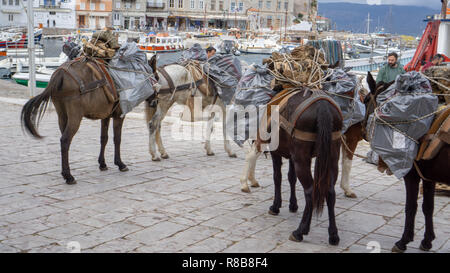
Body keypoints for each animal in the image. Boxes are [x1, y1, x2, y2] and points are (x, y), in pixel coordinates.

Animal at [20, 55, 158, 184]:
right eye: (156, 78)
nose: (155, 102)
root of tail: (60, 74)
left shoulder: (105, 116)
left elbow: (104, 138)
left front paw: (102, 164)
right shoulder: (119, 116)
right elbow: (117, 139)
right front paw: (120, 163)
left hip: (62, 116)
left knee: (64, 140)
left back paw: (65, 173)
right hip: (75, 117)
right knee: (65, 140)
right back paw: (69, 176)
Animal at [264, 85, 344, 244]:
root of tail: (323, 107)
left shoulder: (277, 152)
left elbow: (277, 177)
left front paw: (276, 206)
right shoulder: (292, 156)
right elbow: (291, 177)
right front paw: (293, 205)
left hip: (302, 158)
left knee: (310, 191)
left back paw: (300, 231)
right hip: (332, 156)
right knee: (330, 191)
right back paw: (333, 235)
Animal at [366, 71, 450, 251]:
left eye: (366, 100)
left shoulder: (412, 176)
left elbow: (411, 207)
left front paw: (403, 241)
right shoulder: (428, 177)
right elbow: (428, 207)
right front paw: (427, 241)